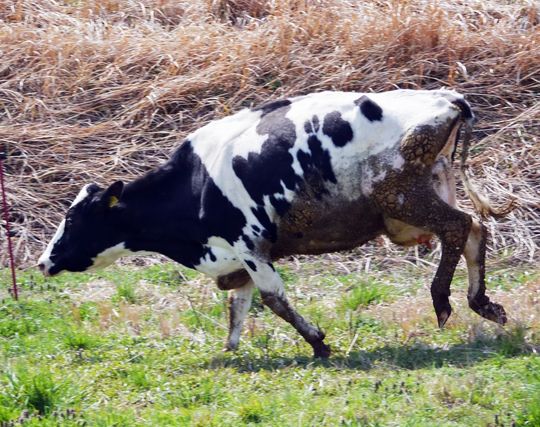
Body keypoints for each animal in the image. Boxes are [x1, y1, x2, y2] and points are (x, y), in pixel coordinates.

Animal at [37, 89, 510, 358]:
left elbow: (273, 299)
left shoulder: (249, 246)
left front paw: (318, 343)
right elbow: (238, 305)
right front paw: (230, 350)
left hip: (401, 197)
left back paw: (444, 300)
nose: (43, 262)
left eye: (73, 217)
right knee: (474, 230)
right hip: (426, 191)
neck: (195, 186)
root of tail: (445, 98)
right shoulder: (238, 258)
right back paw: (483, 303)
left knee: (457, 227)